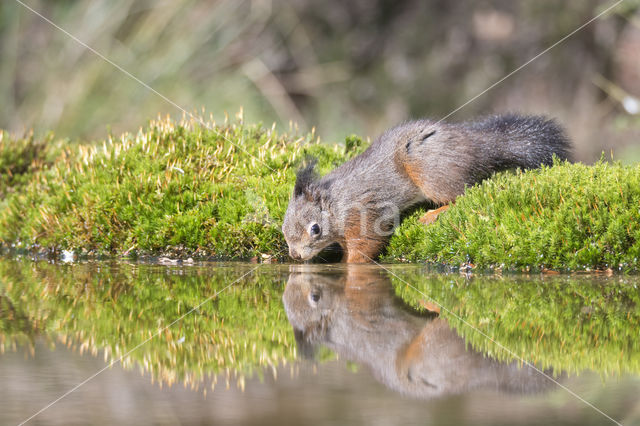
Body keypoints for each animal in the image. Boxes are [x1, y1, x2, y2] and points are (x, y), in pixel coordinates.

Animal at [282, 115, 572, 264]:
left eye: (315, 229)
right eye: (284, 230)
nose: (294, 255)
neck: (335, 202)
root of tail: (476, 144)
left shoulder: (365, 212)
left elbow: (366, 244)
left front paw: (348, 266)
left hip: (429, 169)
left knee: (462, 194)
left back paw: (434, 214)